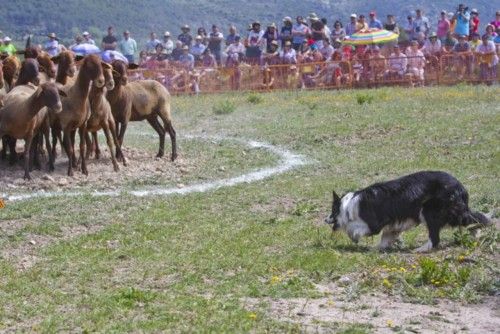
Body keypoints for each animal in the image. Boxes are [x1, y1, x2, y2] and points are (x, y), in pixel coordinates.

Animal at [324, 171, 492, 252]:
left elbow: (355, 229)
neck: (349, 206)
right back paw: (476, 233)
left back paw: (420, 249)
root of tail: (460, 186)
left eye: (332, 210)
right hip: (452, 213)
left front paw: (354, 237)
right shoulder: (392, 226)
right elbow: (386, 237)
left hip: (429, 211)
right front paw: (379, 248)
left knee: (435, 238)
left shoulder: (374, 223)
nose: (325, 219)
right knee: (473, 218)